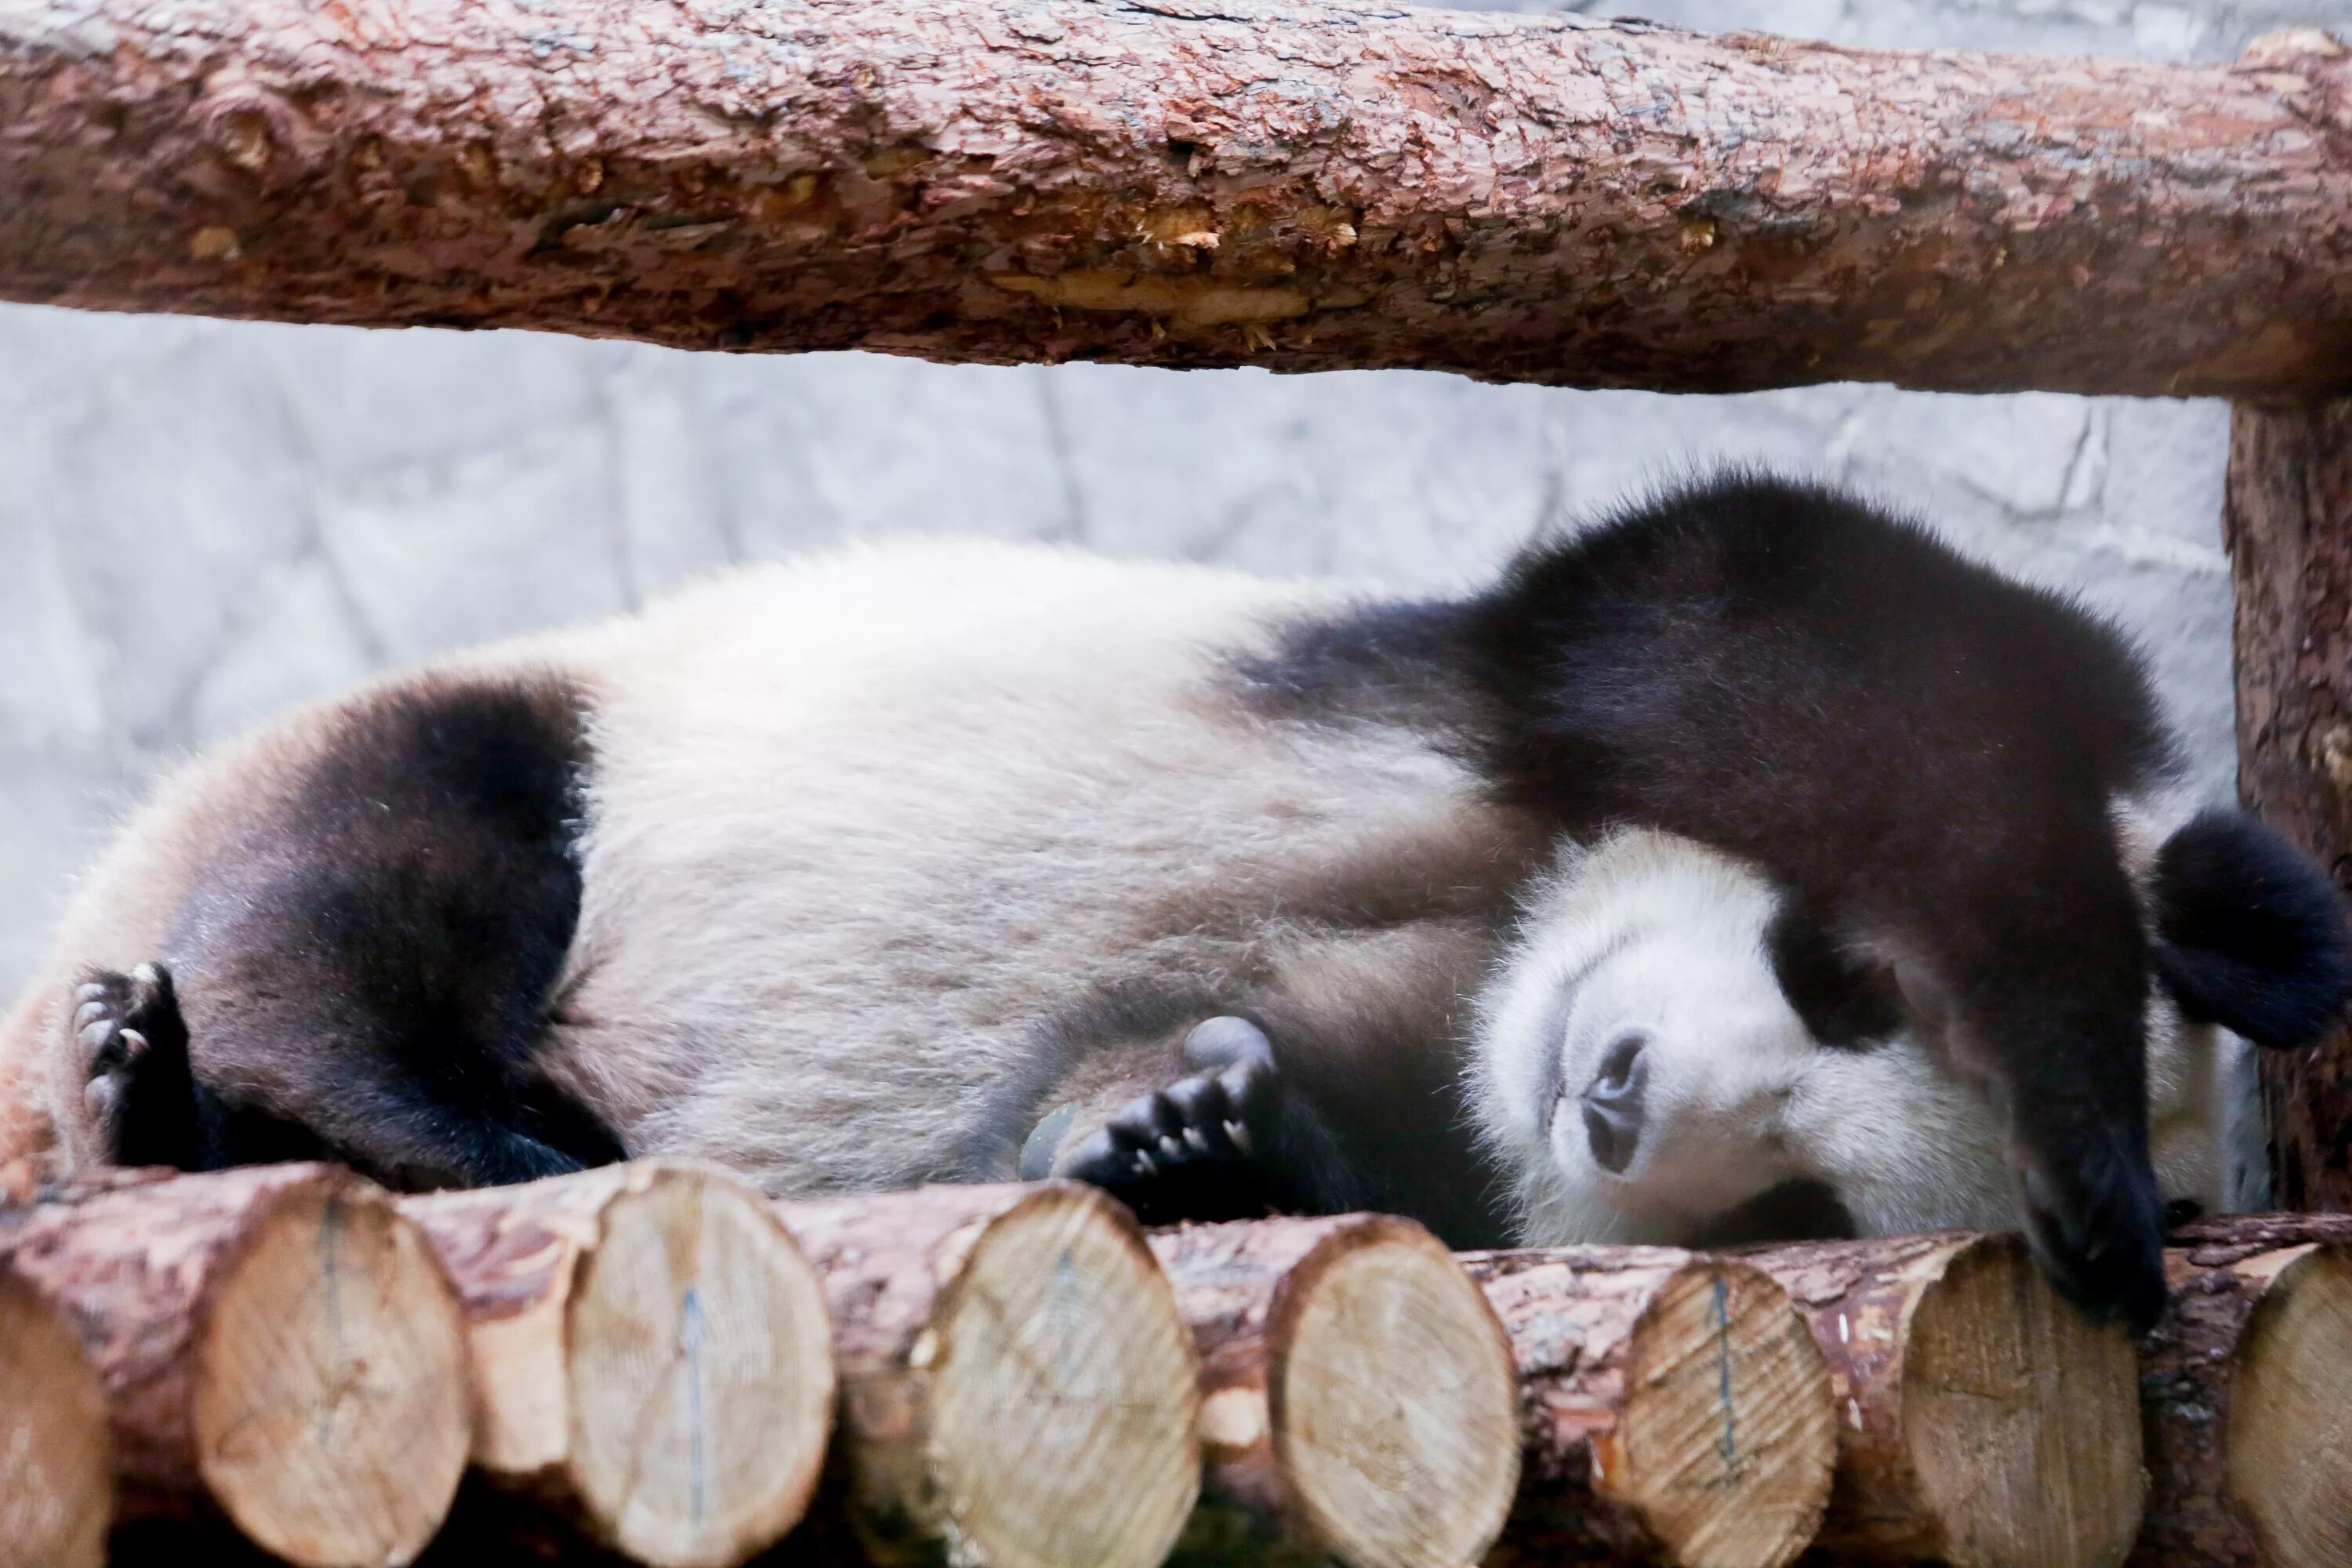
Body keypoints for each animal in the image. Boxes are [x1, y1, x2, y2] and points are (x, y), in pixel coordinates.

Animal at [0, 472, 2333, 1335]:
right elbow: (1787, 641)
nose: (1613, 1088)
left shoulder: (1451, 1105)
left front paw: (1183, 1125)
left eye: (1796, 1204)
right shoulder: (1536, 664)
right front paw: (2086, 1138)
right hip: (548, 738)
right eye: (1828, 974)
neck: (1506, 948)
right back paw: (333, 1106)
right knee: (393, 877)